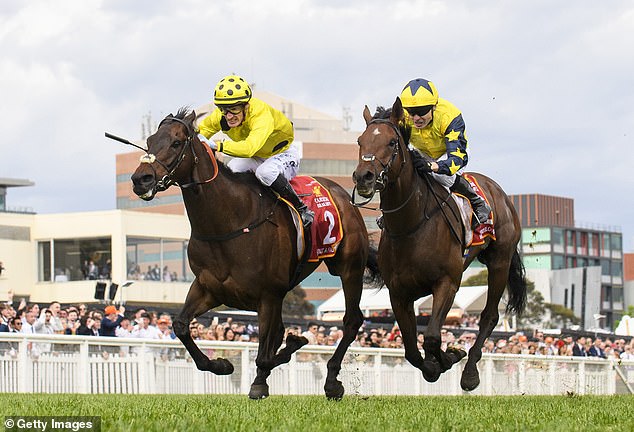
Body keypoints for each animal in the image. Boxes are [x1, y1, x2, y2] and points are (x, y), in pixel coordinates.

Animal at [126, 107, 378, 398]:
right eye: (149, 141)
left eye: (177, 142)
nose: (140, 179)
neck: (228, 223)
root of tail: (344, 195)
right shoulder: (209, 288)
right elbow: (181, 327)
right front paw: (222, 364)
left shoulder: (268, 295)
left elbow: (266, 353)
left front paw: (286, 352)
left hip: (349, 268)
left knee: (351, 320)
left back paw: (332, 381)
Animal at [350, 99, 524, 390]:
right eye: (360, 141)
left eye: (391, 142)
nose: (364, 177)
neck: (410, 226)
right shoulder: (398, 294)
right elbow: (411, 349)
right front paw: (437, 362)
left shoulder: (447, 283)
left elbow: (431, 337)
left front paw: (449, 356)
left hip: (500, 260)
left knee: (489, 316)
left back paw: (470, 373)